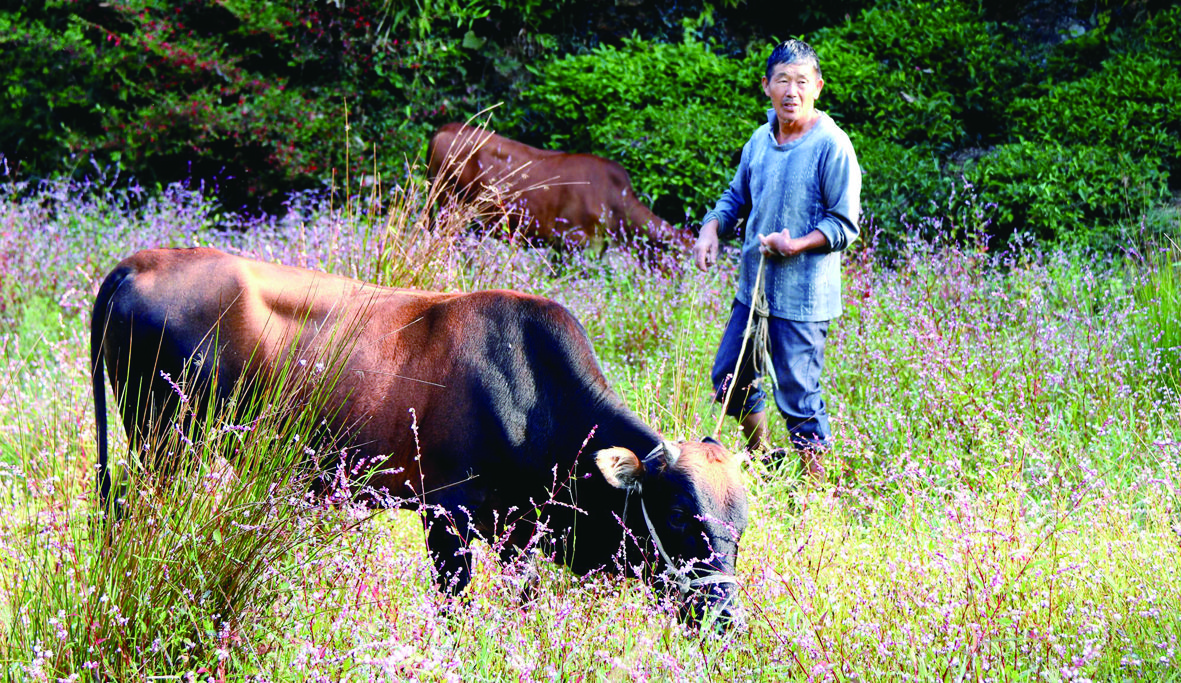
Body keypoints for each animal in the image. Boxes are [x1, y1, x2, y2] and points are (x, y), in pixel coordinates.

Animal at [89, 246, 746, 623]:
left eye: (741, 526)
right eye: (681, 515)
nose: (727, 619)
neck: (532, 392)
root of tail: (140, 261)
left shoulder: (519, 532)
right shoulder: (446, 516)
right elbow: (453, 611)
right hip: (162, 441)